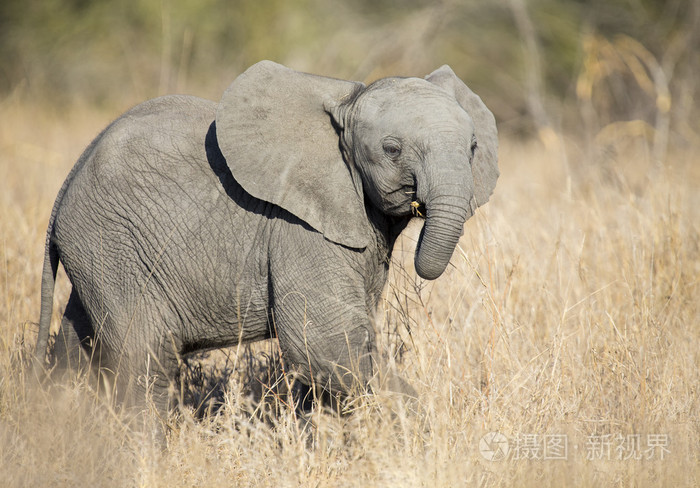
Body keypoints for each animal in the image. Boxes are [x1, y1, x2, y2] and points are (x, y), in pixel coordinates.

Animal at [34, 59, 498, 414]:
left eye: (473, 147)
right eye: (392, 149)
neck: (346, 105)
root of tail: (67, 182)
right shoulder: (298, 229)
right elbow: (327, 344)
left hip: (99, 250)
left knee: (79, 347)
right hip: (112, 242)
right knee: (145, 357)